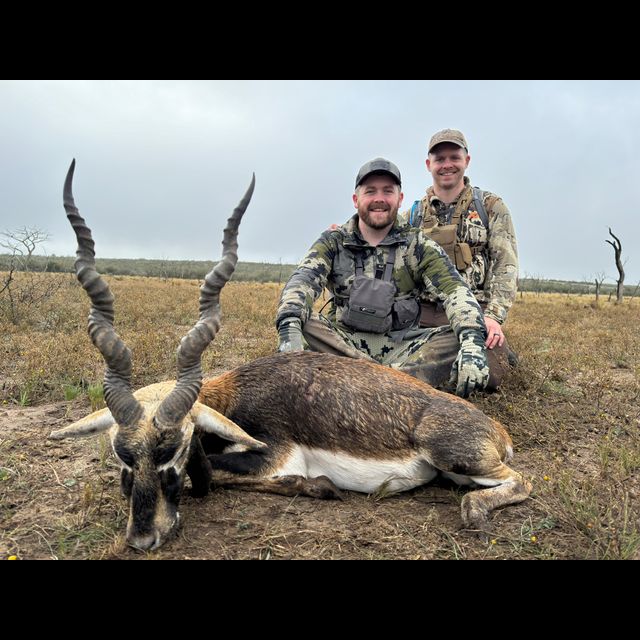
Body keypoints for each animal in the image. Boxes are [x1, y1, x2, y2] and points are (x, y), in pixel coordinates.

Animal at [51, 161, 531, 552]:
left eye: (179, 449)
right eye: (122, 457)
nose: (143, 538)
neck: (235, 396)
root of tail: (496, 430)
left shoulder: (275, 457)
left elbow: (224, 476)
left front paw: (321, 486)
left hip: (455, 458)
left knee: (519, 481)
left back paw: (473, 511)